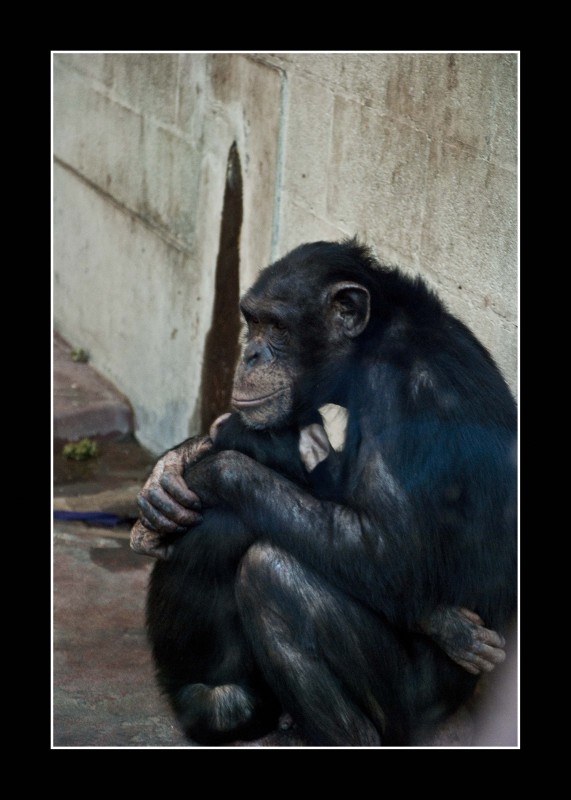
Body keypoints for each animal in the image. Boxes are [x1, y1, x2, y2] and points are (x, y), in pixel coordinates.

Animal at [134, 241, 520, 748]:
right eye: (252, 321)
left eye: (277, 327)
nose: (250, 353)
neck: (370, 346)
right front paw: (176, 464)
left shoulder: (401, 394)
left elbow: (386, 553)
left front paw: (211, 467)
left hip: (410, 706)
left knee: (271, 573)